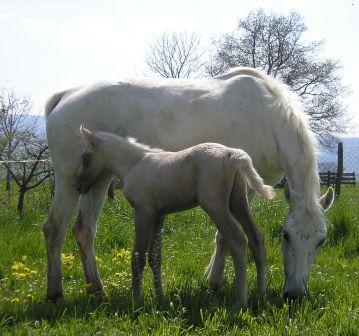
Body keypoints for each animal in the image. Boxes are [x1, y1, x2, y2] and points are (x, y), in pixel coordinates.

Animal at [74, 126, 274, 310]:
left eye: (85, 157)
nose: (78, 186)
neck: (134, 164)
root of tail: (232, 154)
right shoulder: (159, 215)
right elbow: (155, 258)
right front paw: (160, 296)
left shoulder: (143, 213)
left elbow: (138, 257)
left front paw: (136, 301)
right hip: (238, 202)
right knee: (256, 238)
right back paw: (261, 293)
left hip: (215, 205)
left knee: (238, 240)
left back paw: (241, 302)